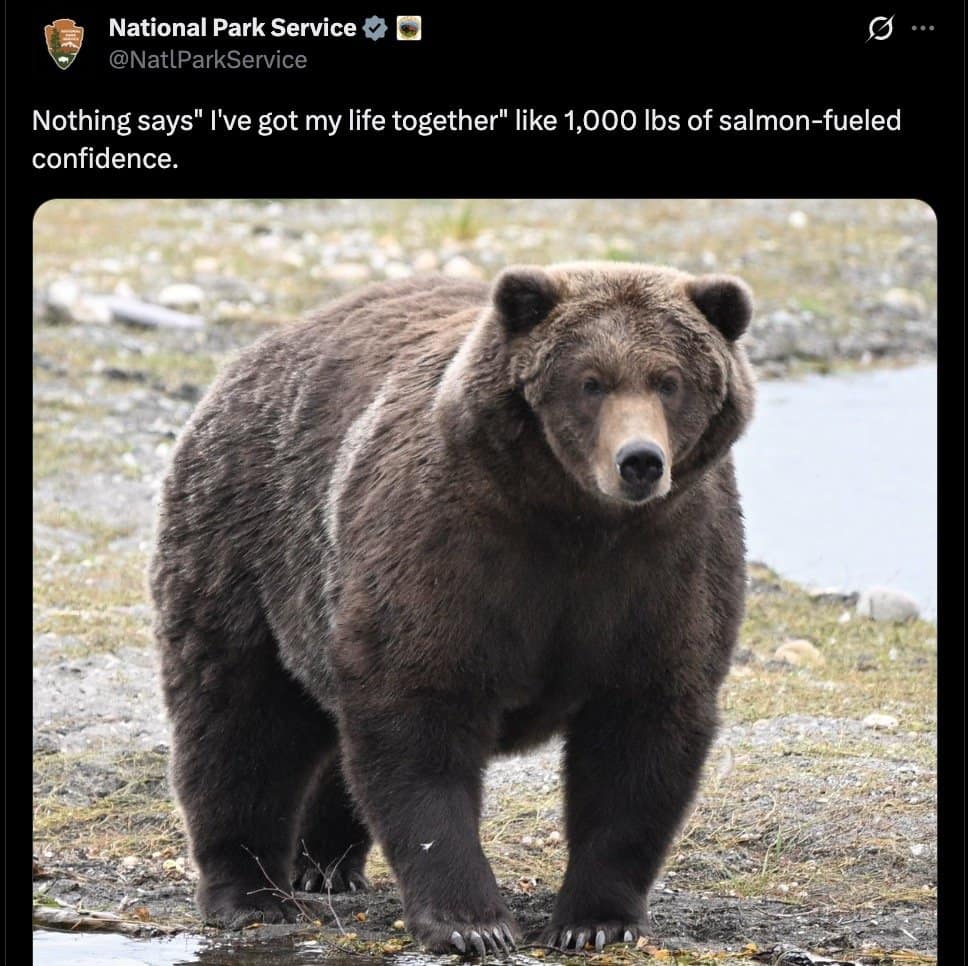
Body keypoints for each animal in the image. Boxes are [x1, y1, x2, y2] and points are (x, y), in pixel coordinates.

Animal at [150, 263, 756, 954]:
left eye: (669, 381)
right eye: (590, 381)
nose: (640, 462)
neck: (576, 521)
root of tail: (250, 357)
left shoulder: (666, 566)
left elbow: (641, 735)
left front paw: (595, 921)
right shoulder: (450, 546)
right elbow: (419, 717)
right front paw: (473, 923)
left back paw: (324, 863)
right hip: (248, 545)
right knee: (238, 718)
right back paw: (249, 893)